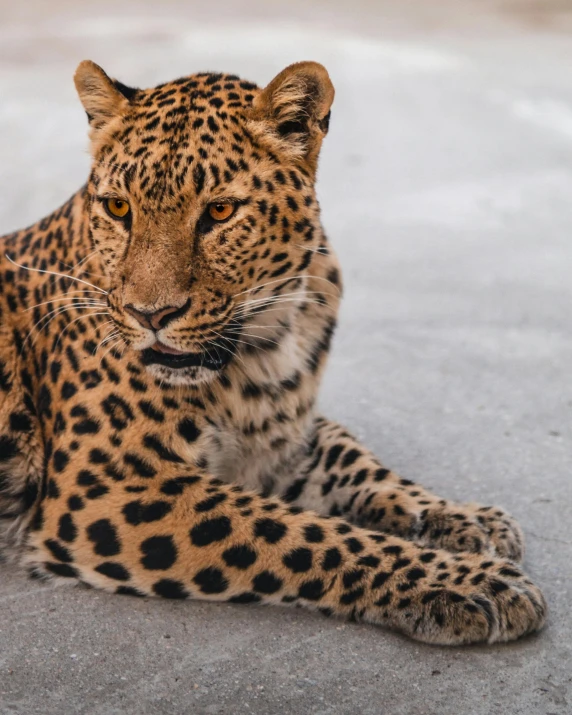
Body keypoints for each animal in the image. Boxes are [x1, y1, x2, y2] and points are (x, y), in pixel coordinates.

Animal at [0, 58, 548, 648]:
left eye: (220, 211)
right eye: (119, 208)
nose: (150, 315)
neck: (264, 344)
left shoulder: (287, 433)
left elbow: (361, 464)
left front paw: (468, 520)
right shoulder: (109, 483)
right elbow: (303, 532)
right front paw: (469, 582)